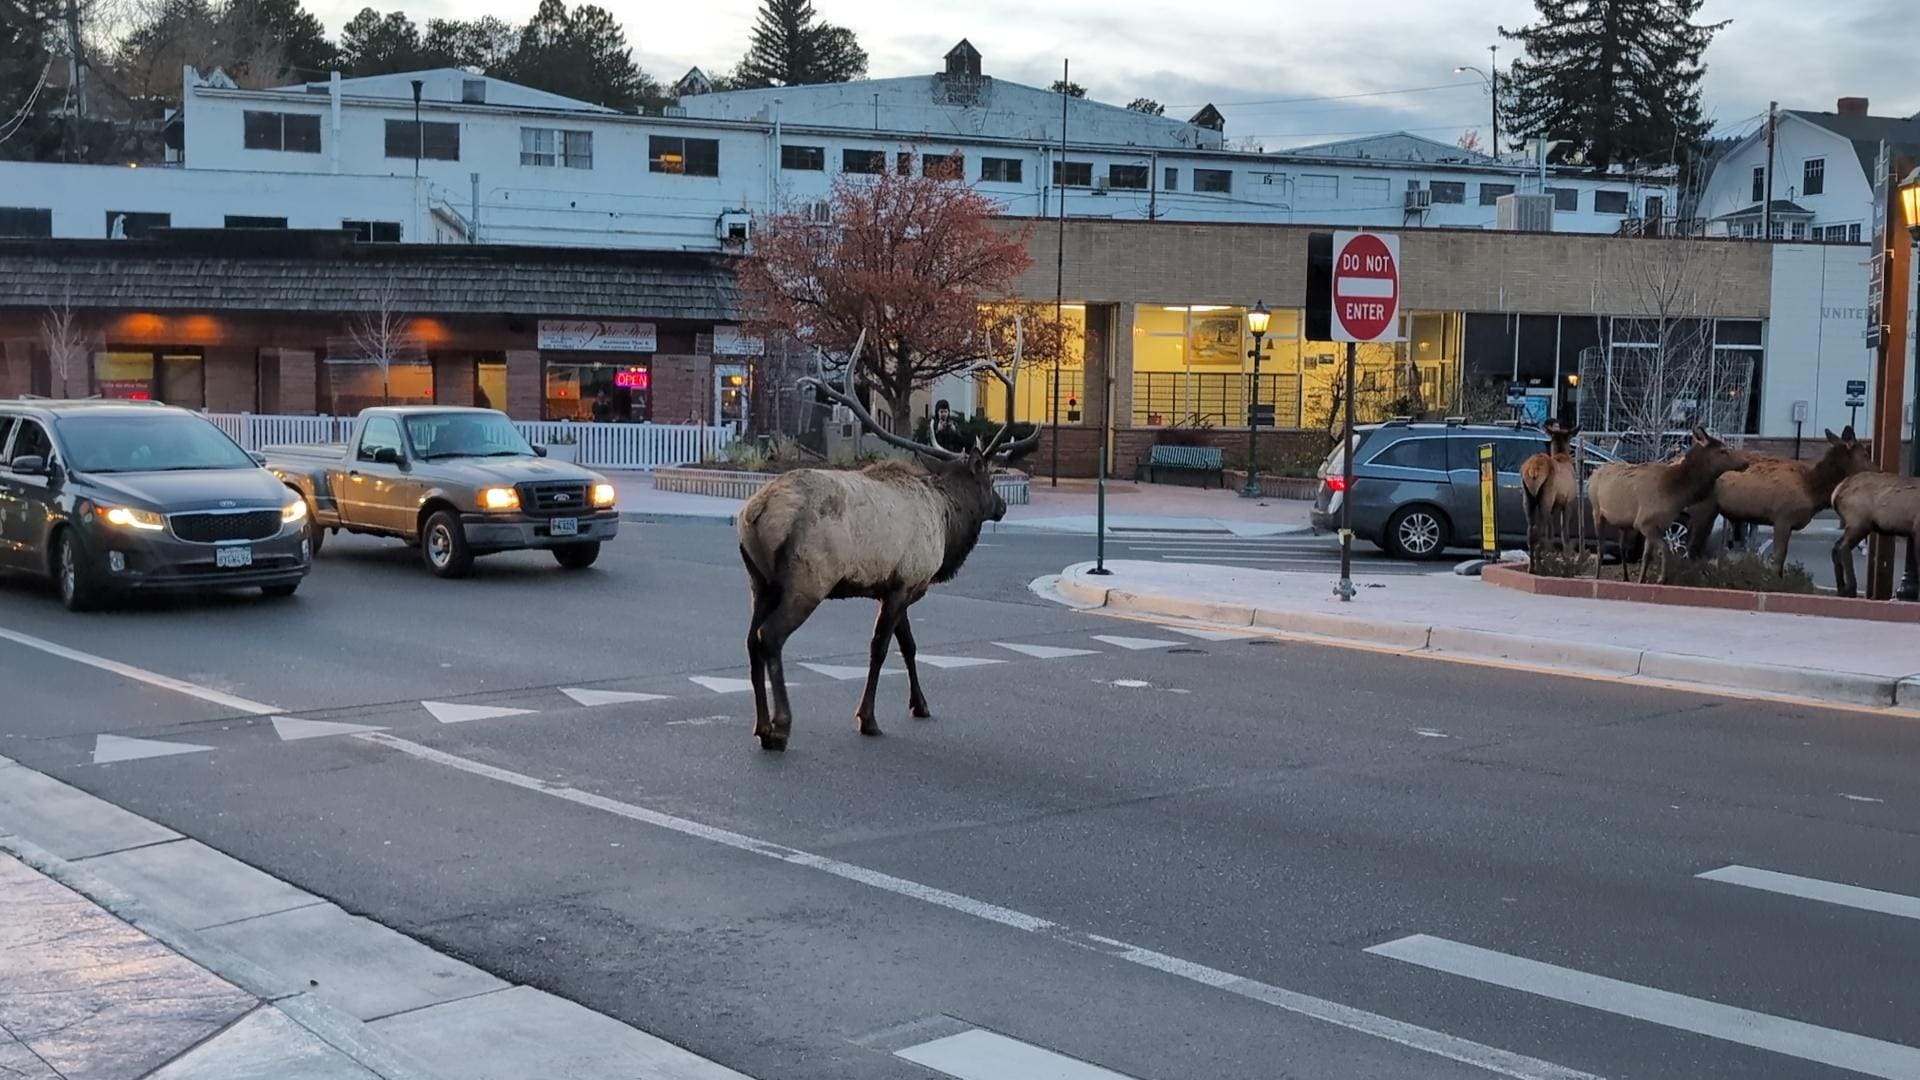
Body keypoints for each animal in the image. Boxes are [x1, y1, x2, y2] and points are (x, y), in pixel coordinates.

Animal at [736, 347, 1038, 752]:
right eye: (989, 480)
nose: (1002, 507)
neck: (946, 522)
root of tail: (757, 512)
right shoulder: (906, 582)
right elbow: (880, 648)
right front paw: (868, 718)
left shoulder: (894, 585)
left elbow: (908, 644)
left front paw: (920, 704)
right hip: (807, 580)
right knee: (770, 637)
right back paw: (780, 727)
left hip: (759, 581)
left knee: (751, 641)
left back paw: (760, 725)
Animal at [1520, 420, 1580, 555]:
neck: (1562, 455)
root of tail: (1533, 470)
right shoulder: (1568, 501)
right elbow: (1564, 531)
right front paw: (1567, 552)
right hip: (1546, 498)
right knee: (1544, 530)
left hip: (1528, 498)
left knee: (1531, 531)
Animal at [1589, 426, 1749, 585]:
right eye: (1723, 450)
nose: (1745, 462)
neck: (1676, 494)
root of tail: (1594, 473)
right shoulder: (1645, 523)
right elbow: (1665, 548)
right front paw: (1661, 578)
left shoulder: (1657, 525)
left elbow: (1647, 556)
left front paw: (1641, 580)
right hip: (1596, 511)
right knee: (1600, 547)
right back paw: (1596, 576)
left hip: (1624, 524)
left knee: (1622, 548)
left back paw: (1626, 578)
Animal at [1684, 427, 1871, 575]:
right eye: (1865, 454)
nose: (1876, 469)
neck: (1812, 489)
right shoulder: (1782, 519)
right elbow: (1778, 559)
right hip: (1702, 508)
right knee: (1692, 545)